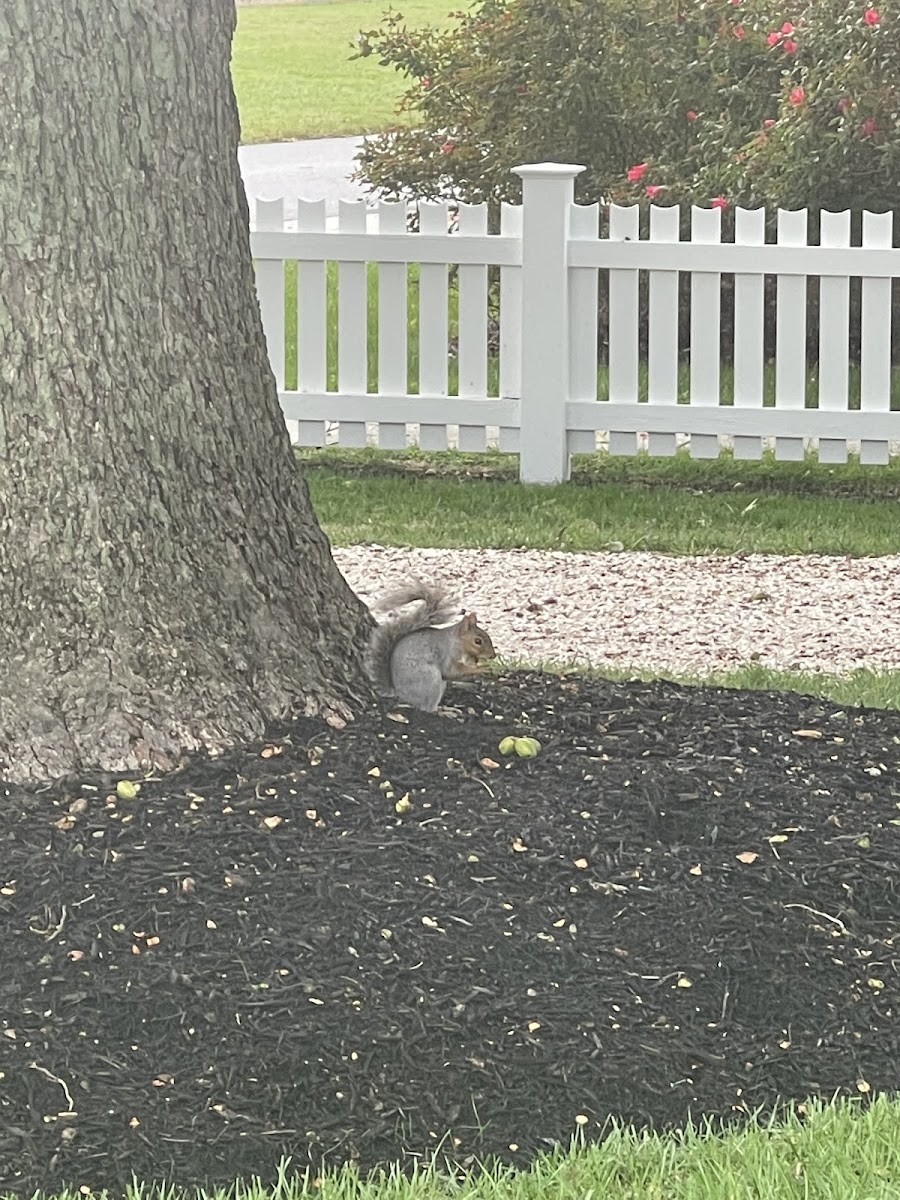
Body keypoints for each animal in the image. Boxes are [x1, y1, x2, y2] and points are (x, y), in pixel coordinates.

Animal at [362, 583, 496, 710]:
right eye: (477, 641)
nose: (493, 656)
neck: (456, 642)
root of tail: (399, 693)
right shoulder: (448, 655)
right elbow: (452, 672)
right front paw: (482, 668)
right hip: (430, 680)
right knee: (427, 708)